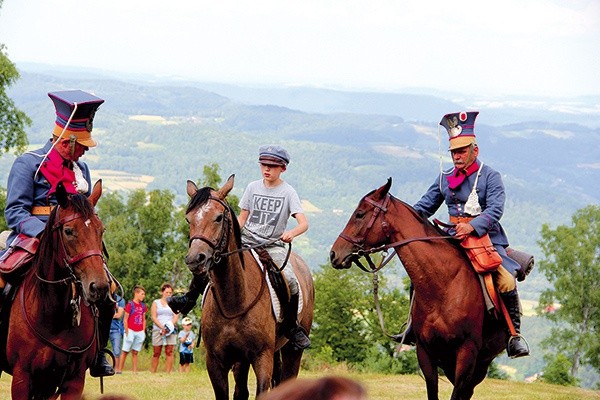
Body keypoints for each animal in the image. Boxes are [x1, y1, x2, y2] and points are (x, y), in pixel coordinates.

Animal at [184, 176, 314, 400]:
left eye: (219, 218)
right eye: (188, 219)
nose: (195, 259)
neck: (234, 301)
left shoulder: (262, 357)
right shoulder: (216, 361)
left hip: (291, 351)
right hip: (242, 361)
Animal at [330, 179, 508, 400]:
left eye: (360, 214)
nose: (334, 254)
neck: (444, 287)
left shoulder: (467, 354)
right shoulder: (425, 352)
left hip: (480, 363)